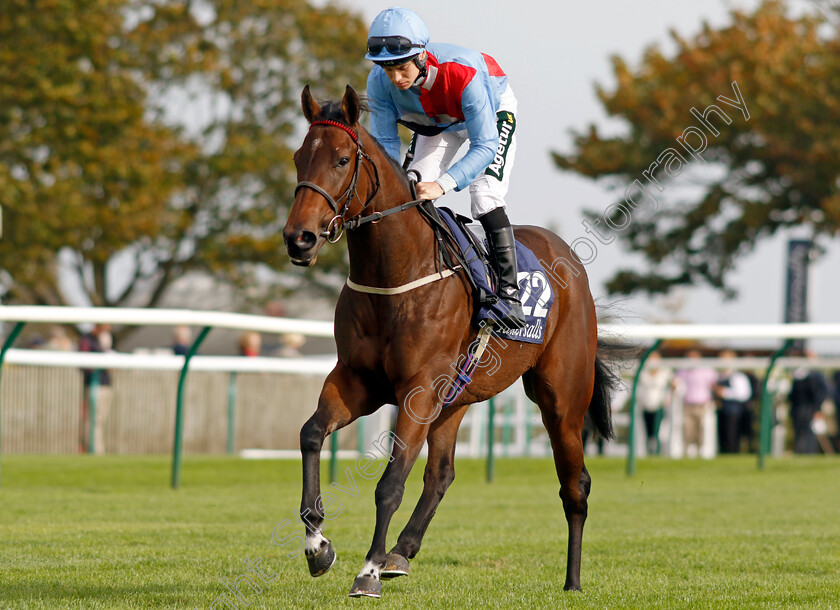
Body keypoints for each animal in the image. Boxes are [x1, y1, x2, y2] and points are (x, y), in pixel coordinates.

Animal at [282, 83, 616, 596]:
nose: (298, 238)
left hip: (561, 398)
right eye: (300, 157)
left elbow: (390, 483)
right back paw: (401, 551)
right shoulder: (357, 381)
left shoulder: (417, 390)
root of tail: (569, 263)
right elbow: (311, 434)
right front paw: (318, 546)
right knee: (441, 473)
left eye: (340, 160)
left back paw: (573, 581)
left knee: (574, 484)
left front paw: (368, 571)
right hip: (455, 398)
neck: (397, 274)